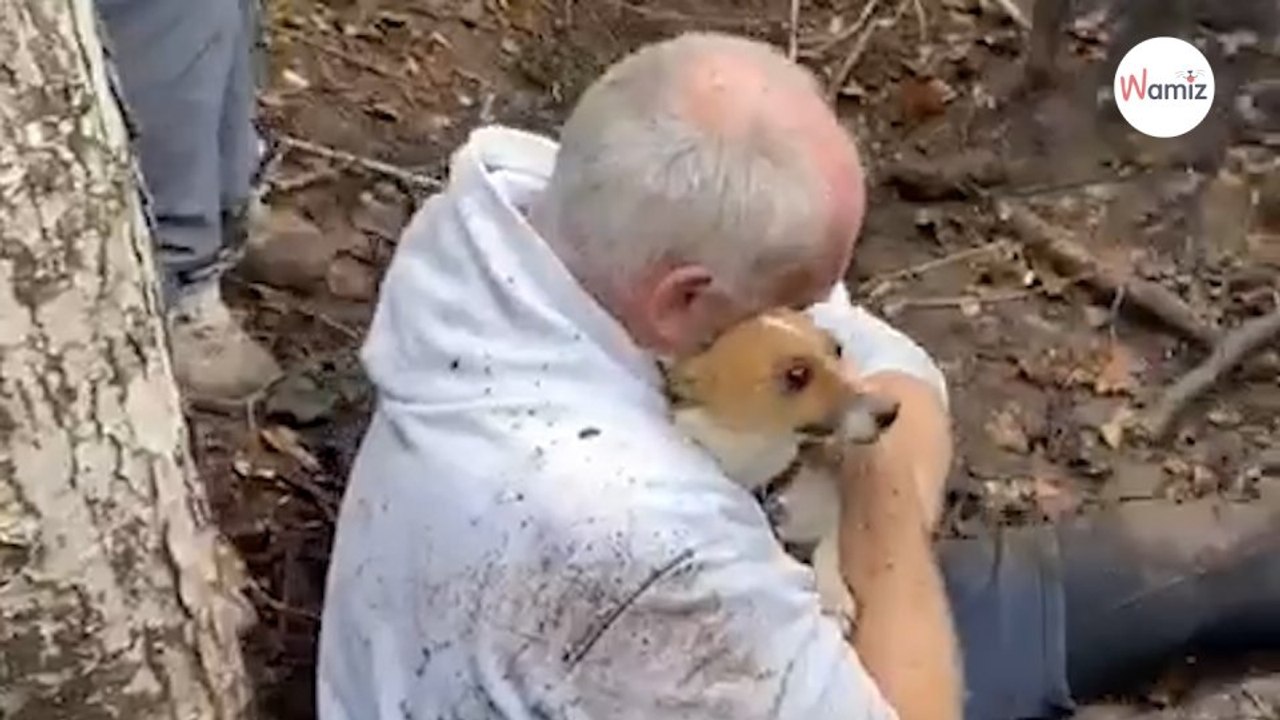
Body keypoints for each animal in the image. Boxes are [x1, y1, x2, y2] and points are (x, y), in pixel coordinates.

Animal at [660, 304, 901, 630]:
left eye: (837, 349)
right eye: (797, 374)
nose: (892, 412)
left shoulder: (825, 510)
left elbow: (827, 549)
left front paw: (834, 596)